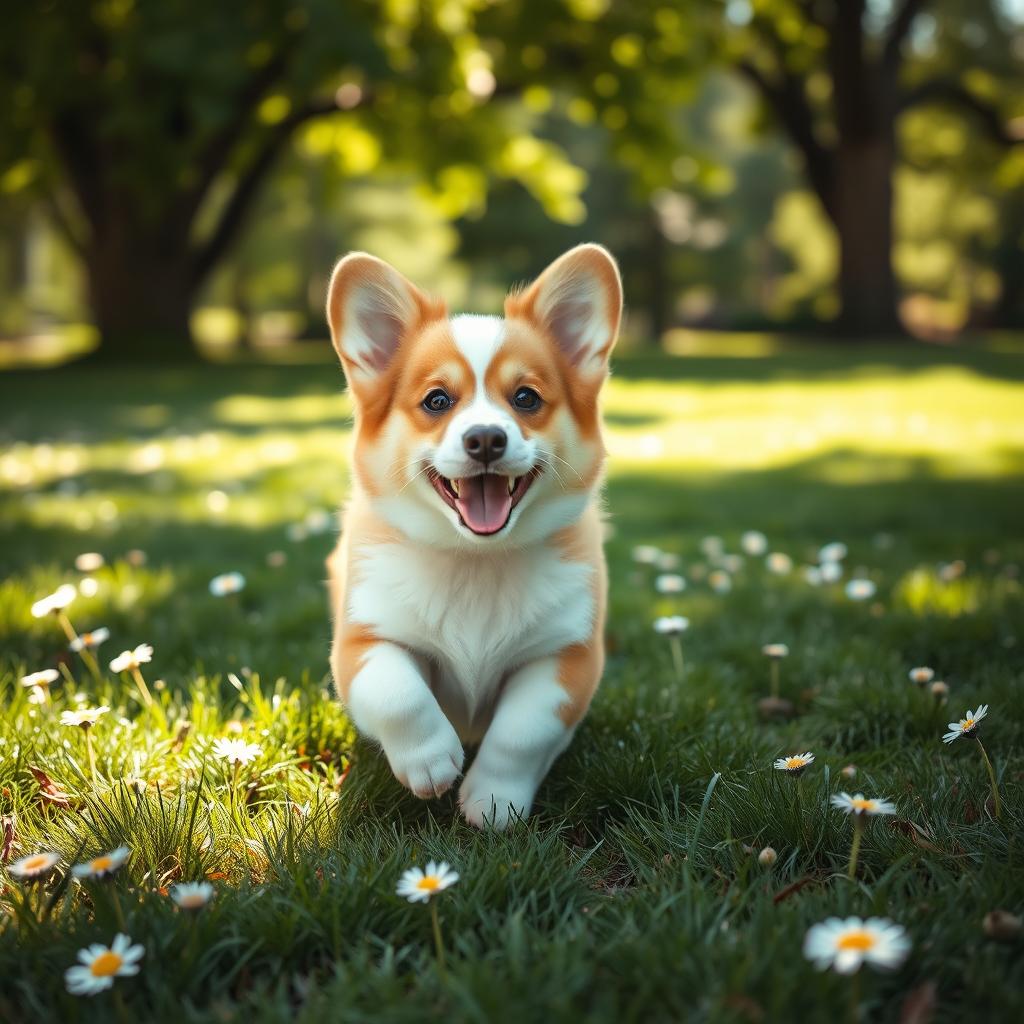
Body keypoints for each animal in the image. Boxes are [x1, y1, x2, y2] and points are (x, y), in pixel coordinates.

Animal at [323, 243, 618, 827]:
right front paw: (432, 761)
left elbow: (522, 732)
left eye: (526, 398)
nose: (485, 438)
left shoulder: (565, 657)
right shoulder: (362, 640)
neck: (476, 559)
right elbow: (398, 693)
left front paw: (493, 803)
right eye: (437, 401)